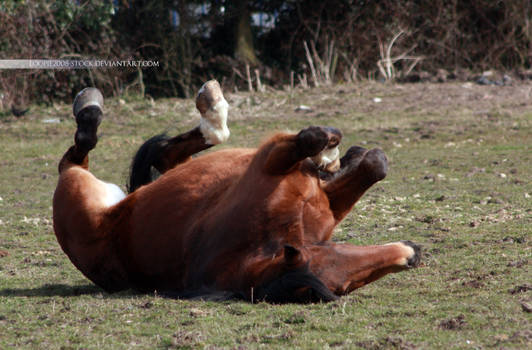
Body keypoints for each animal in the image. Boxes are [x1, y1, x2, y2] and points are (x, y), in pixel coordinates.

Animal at [53, 80, 420, 302]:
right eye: (335, 256)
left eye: (349, 283)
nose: (412, 254)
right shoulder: (270, 160)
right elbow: (314, 138)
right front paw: (330, 152)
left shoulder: (323, 202)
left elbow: (375, 165)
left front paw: (343, 158)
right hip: (75, 185)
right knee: (77, 153)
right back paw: (91, 106)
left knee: (166, 154)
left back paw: (212, 111)